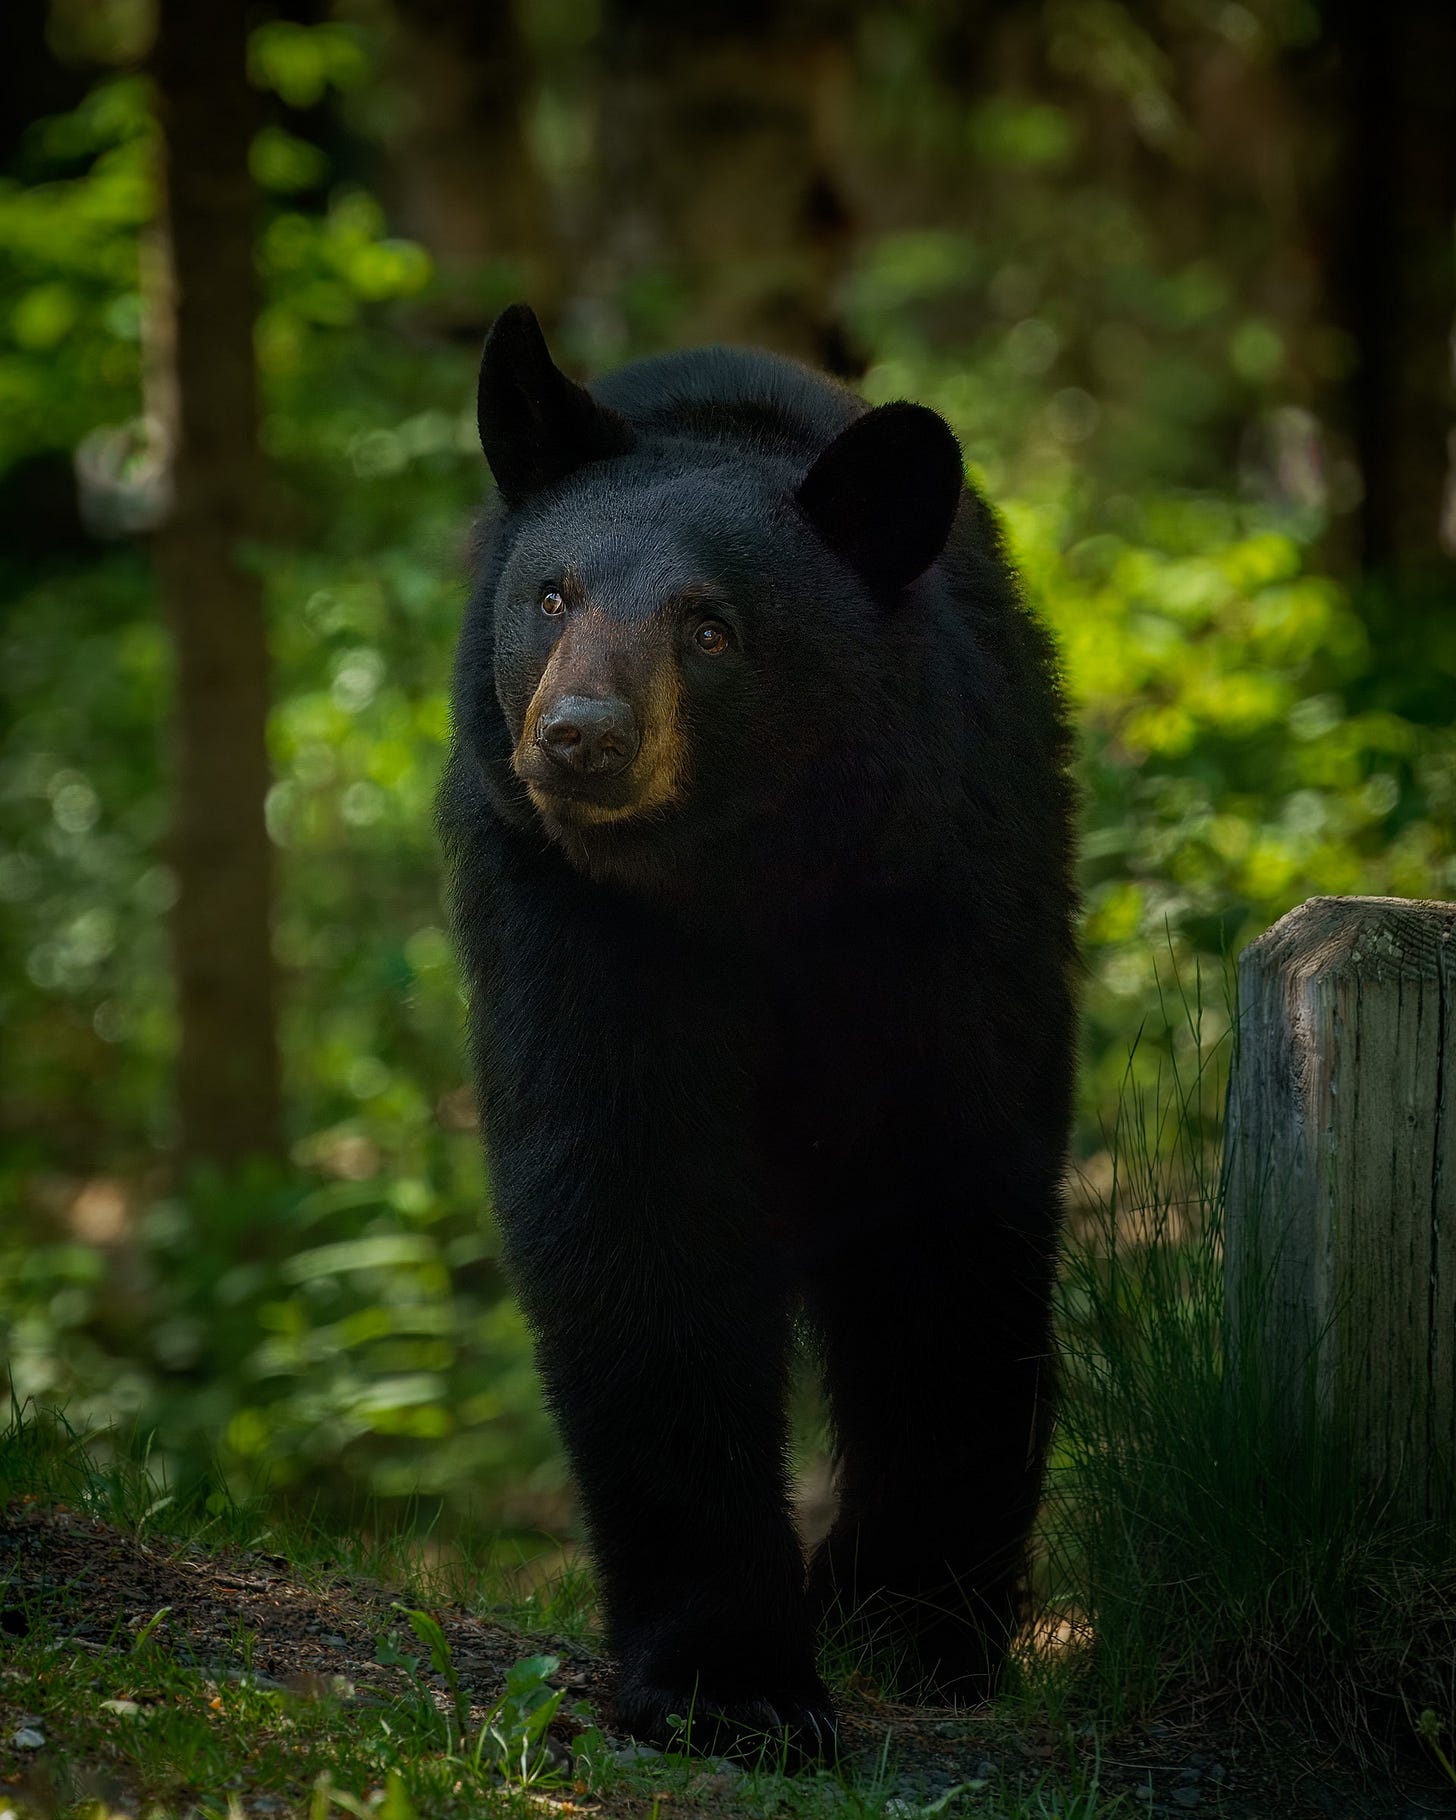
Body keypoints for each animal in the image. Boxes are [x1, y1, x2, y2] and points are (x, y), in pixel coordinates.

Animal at [444, 305, 1077, 1754]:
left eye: (710, 626)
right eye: (553, 594)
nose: (579, 736)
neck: (746, 879)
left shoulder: (940, 897)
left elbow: (949, 1217)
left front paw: (919, 1620)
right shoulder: (572, 919)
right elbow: (632, 1206)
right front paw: (726, 1677)